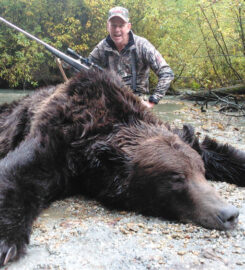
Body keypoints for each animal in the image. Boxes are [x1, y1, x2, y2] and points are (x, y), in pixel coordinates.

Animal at [0, 69, 244, 266]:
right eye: (177, 178)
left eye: (201, 172)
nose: (230, 214)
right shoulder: (57, 136)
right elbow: (20, 171)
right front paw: (7, 243)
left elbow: (217, 151)